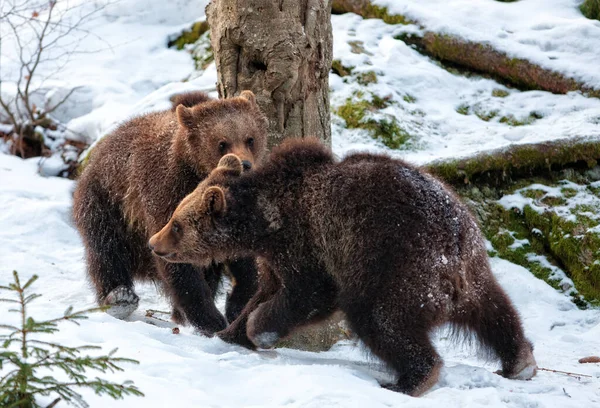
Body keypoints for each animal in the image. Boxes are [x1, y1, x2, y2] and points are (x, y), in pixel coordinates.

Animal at [71, 90, 268, 334]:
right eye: (221, 143)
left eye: (250, 139)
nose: (245, 164)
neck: (198, 173)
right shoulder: (166, 193)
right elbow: (178, 263)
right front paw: (210, 319)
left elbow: (243, 256)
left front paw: (237, 305)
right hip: (107, 204)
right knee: (106, 253)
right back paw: (119, 298)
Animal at [148, 137, 536, 396]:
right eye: (174, 215)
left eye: (177, 224)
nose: (153, 243)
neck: (265, 222)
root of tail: (452, 243)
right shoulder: (276, 258)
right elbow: (265, 292)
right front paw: (230, 333)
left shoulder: (309, 242)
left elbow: (307, 294)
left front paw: (259, 331)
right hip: (471, 269)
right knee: (496, 312)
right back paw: (520, 362)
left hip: (395, 263)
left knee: (379, 319)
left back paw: (410, 380)